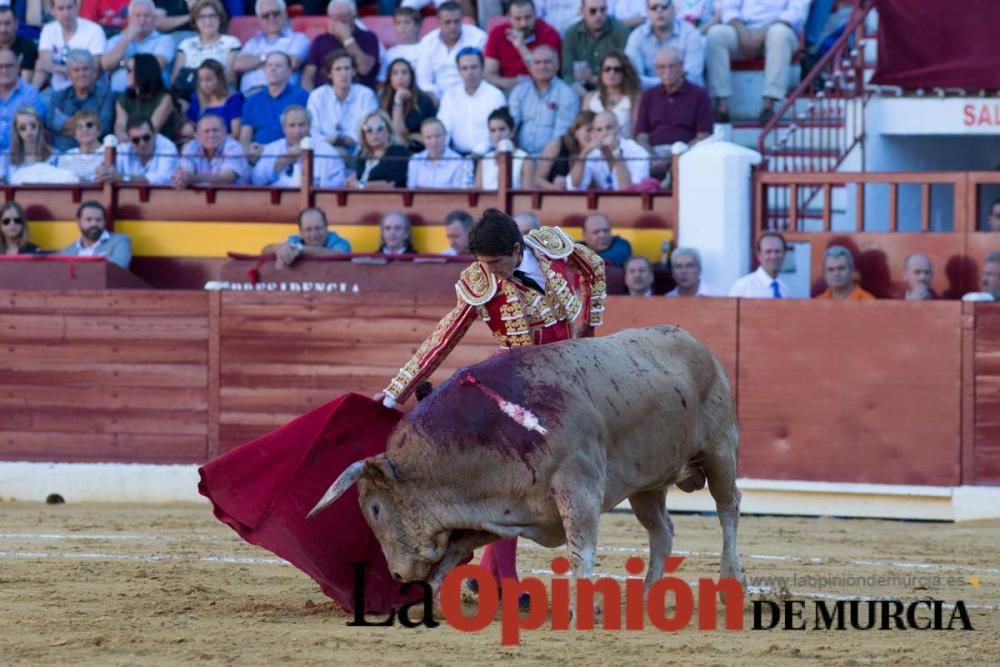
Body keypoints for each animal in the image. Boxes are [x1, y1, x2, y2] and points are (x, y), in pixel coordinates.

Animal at [310, 326, 744, 592]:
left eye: (376, 509)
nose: (398, 574)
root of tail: (696, 344)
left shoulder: (578, 486)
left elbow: (580, 550)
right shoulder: (502, 508)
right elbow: (457, 549)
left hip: (720, 449)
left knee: (728, 508)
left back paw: (731, 581)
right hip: (647, 484)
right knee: (662, 530)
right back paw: (649, 592)